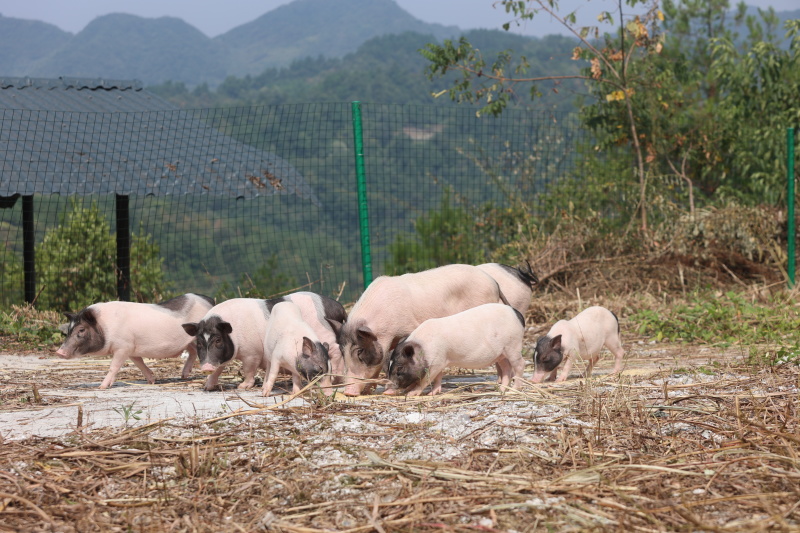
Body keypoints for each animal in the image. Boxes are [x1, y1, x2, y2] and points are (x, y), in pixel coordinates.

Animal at [55, 294, 216, 388]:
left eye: (81, 330)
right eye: (69, 330)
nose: (59, 352)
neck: (105, 326)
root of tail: (209, 300)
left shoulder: (123, 346)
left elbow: (114, 366)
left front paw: (102, 387)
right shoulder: (131, 348)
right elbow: (140, 363)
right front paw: (151, 381)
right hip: (188, 341)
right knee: (193, 351)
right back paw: (183, 376)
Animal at [386, 304, 528, 394]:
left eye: (400, 368)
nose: (387, 389)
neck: (423, 348)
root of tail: (518, 314)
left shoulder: (436, 362)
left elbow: (426, 380)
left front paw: (411, 393)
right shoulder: (441, 360)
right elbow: (438, 377)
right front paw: (432, 393)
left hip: (513, 345)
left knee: (520, 364)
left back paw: (514, 389)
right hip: (501, 353)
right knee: (507, 369)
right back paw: (501, 390)